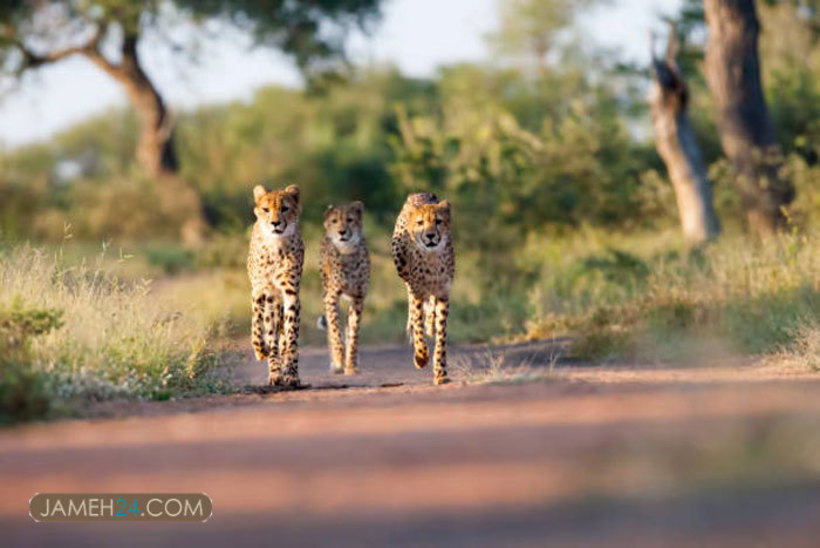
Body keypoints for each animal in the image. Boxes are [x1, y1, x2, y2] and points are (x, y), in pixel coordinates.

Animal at [248, 184, 306, 390]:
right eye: (266, 209)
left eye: (284, 208)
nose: (275, 223)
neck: (276, 246)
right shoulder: (261, 291)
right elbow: (257, 329)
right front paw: (261, 351)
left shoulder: (291, 293)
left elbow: (291, 338)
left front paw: (292, 374)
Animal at [320, 202, 372, 376]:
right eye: (335, 221)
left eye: (350, 220)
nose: (342, 232)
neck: (347, 251)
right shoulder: (331, 297)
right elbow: (335, 330)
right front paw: (339, 359)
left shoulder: (358, 298)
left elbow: (354, 333)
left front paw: (351, 365)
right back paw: (336, 364)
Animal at [390, 193, 454, 386]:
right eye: (420, 223)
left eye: (438, 221)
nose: (431, 235)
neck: (432, 258)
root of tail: (419, 194)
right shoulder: (416, 292)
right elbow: (418, 327)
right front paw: (421, 357)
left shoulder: (443, 295)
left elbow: (441, 337)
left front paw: (440, 372)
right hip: (401, 265)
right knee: (411, 306)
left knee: (429, 308)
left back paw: (430, 322)